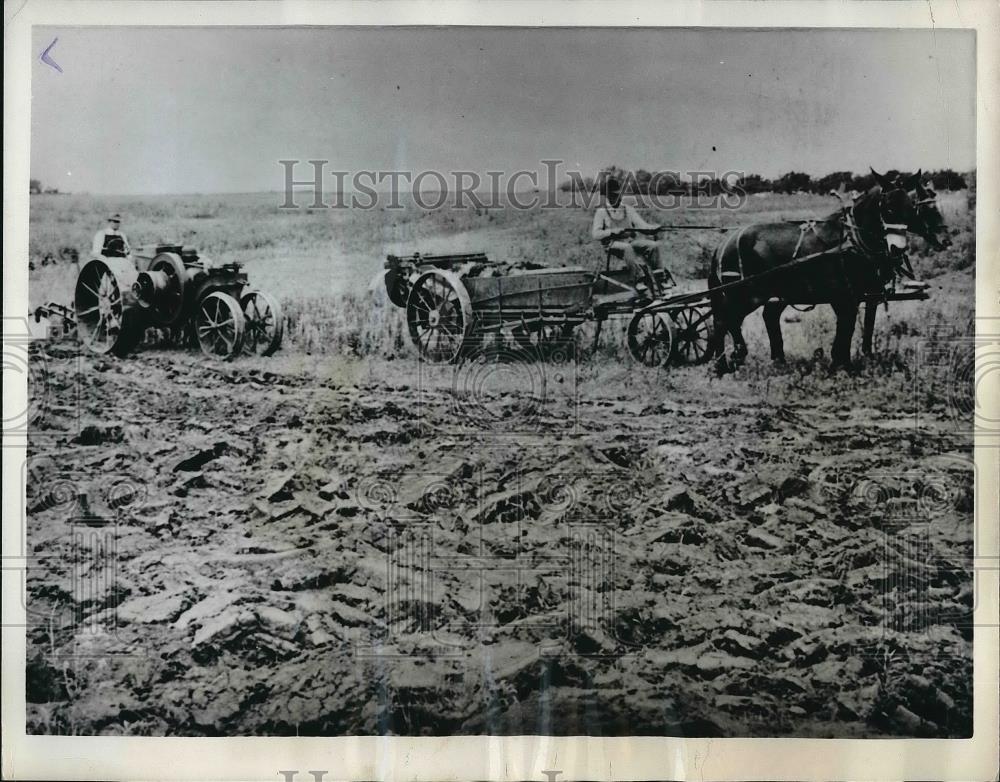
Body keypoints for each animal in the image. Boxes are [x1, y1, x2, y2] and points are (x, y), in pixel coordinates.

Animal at [712, 169, 936, 370]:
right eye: (887, 208)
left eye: (910, 208)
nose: (898, 249)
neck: (852, 240)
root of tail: (724, 242)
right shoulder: (845, 296)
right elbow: (846, 327)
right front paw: (842, 364)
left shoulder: (856, 295)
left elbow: (849, 327)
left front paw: (843, 361)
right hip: (745, 294)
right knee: (724, 321)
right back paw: (727, 362)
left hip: (772, 293)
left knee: (755, 318)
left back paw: (771, 360)